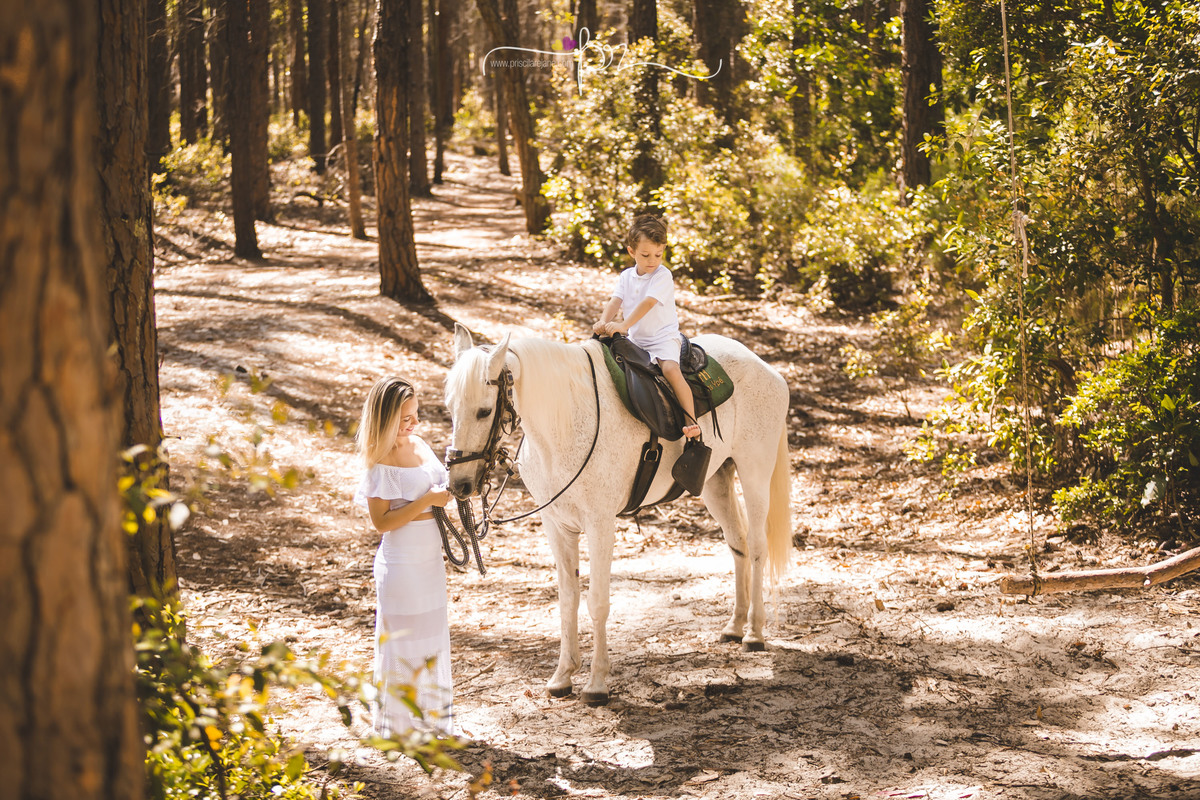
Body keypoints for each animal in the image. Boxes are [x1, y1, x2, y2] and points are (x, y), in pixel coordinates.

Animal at [444, 323, 792, 705]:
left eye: (483, 411)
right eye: (450, 409)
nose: (459, 484)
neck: (564, 421)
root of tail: (764, 366)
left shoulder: (600, 525)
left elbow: (597, 602)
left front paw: (597, 683)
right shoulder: (557, 525)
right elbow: (568, 600)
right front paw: (563, 675)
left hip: (755, 473)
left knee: (757, 546)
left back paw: (754, 632)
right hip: (716, 482)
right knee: (737, 543)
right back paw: (735, 626)